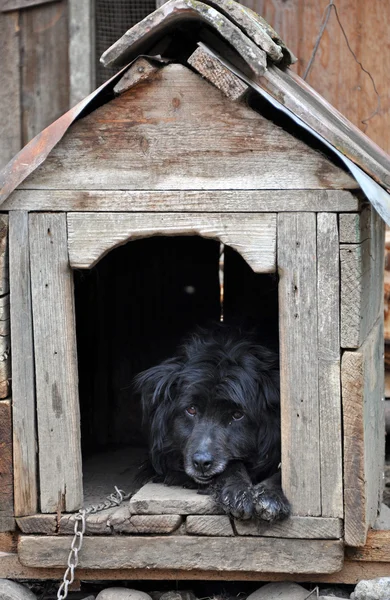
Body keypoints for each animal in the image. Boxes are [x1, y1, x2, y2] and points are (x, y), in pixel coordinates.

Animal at [134, 328, 290, 520]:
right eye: (191, 409)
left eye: (237, 415)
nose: (201, 462)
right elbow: (233, 464)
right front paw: (237, 491)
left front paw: (271, 495)